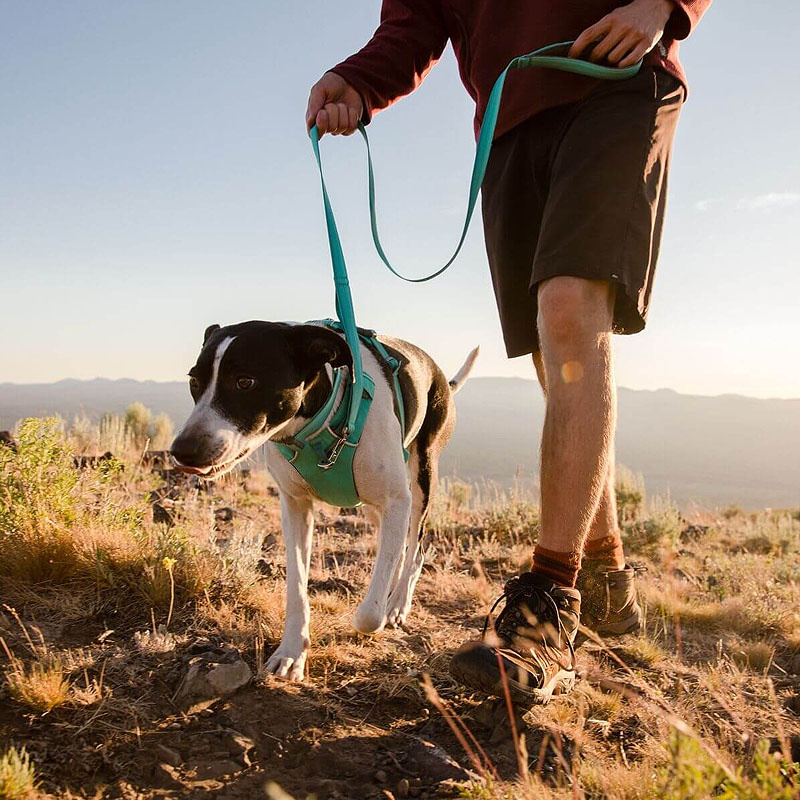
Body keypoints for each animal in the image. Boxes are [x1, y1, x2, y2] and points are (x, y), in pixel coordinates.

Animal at [172, 320, 478, 680]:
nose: (182, 450)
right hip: (374, 507)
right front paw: (291, 653)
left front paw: (371, 612)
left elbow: (369, 615)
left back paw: (397, 604)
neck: (323, 423)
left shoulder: (396, 499)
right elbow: (296, 588)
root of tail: (438, 372)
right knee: (400, 548)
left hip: (421, 478)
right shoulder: (295, 506)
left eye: (245, 381)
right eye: (194, 381)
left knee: (414, 548)